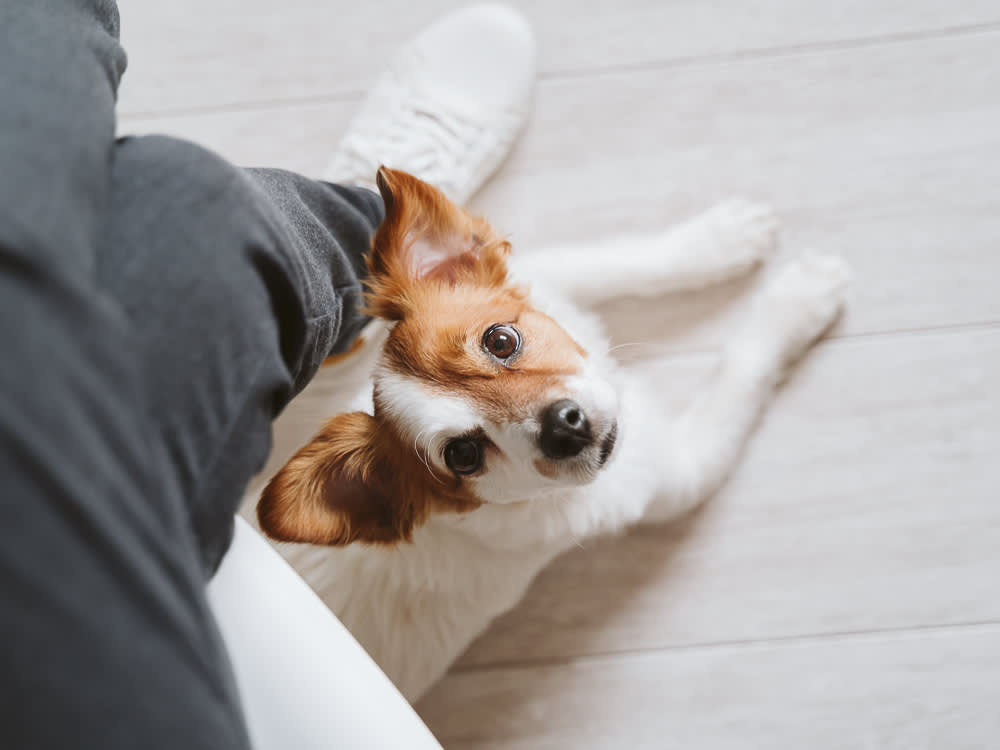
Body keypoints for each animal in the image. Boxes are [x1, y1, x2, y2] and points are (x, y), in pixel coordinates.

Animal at [258, 167, 852, 704]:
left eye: (500, 339)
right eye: (463, 455)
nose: (565, 427)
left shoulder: (552, 275)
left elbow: (624, 259)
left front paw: (723, 237)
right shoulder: (679, 471)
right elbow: (742, 367)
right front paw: (798, 299)